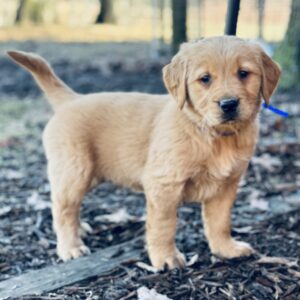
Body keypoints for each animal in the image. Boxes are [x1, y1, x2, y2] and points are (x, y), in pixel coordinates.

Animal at [8, 35, 282, 270]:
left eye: (244, 73)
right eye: (205, 79)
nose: (228, 104)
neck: (212, 135)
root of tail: (71, 100)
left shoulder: (226, 185)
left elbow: (220, 222)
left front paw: (226, 249)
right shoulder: (164, 185)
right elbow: (164, 226)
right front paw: (166, 258)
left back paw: (80, 229)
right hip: (74, 171)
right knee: (62, 208)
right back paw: (70, 247)